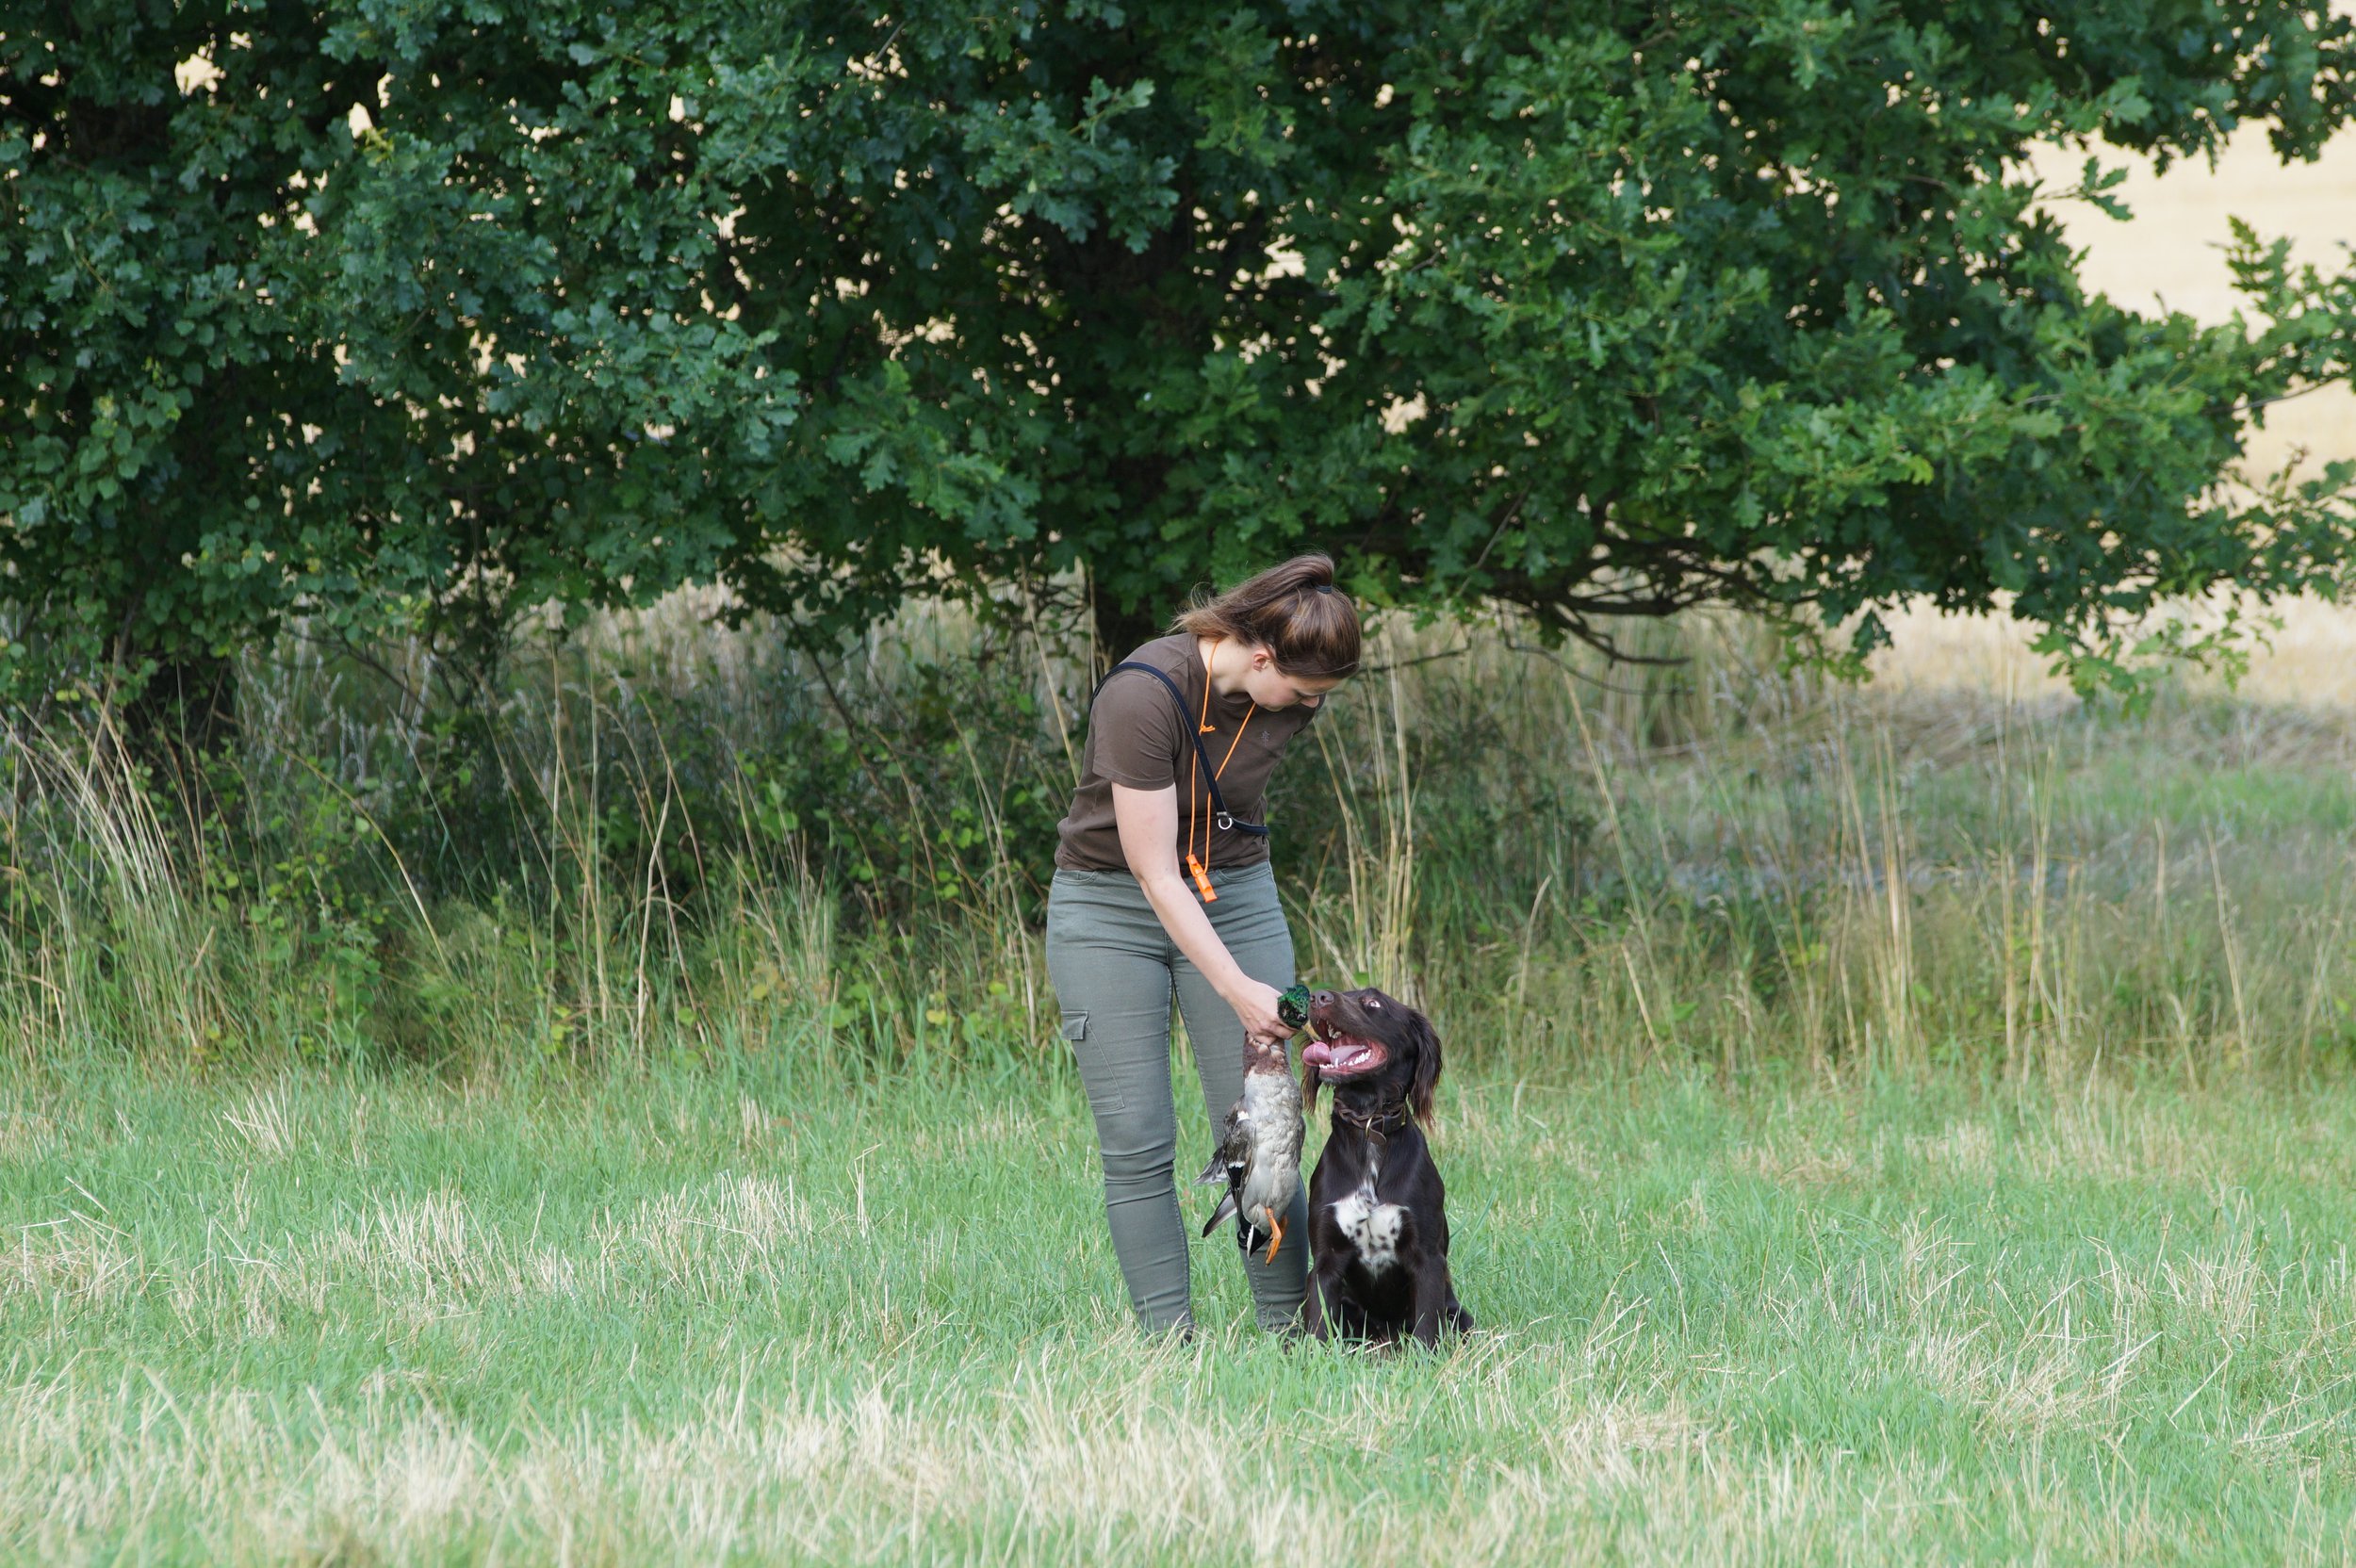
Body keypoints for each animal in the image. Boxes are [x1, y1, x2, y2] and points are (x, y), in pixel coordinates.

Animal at [1299, 986, 1472, 1347]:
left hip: (1459, 1315)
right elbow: (1318, 1328)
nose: (1318, 996)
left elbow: (1426, 1332)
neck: (1368, 1126)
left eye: (1373, 1002)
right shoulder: (1325, 1262)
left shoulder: (1427, 1259)